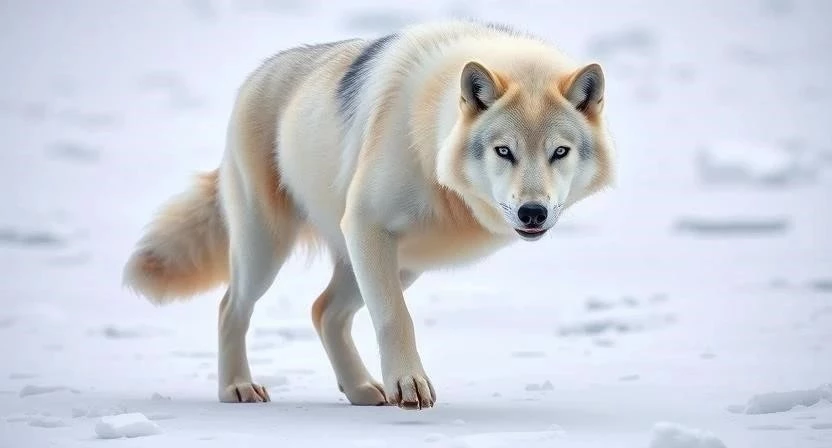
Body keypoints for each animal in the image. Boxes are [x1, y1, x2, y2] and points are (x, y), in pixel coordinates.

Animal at [122, 20, 616, 410]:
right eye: (504, 151)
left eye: (559, 152)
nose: (533, 212)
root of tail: (259, 73)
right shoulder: (366, 225)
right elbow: (396, 318)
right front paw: (409, 385)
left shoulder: (375, 244)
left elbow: (378, 315)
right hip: (268, 247)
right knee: (232, 306)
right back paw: (237, 388)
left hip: (400, 264)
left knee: (324, 311)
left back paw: (360, 390)